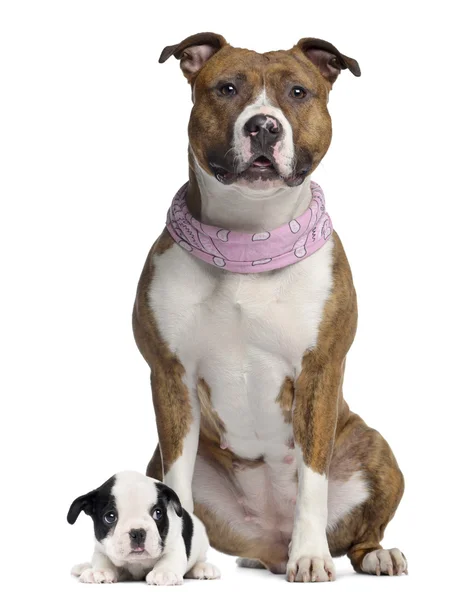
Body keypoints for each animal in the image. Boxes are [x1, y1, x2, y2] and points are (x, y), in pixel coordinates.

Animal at [67, 472, 220, 584]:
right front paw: (100, 571)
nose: (138, 532)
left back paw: (203, 568)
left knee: (199, 560)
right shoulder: (101, 548)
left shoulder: (175, 543)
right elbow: (102, 559)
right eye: (110, 517)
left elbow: (170, 558)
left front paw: (164, 572)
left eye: (158, 513)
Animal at [133, 32, 406, 580]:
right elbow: (176, 492)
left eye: (298, 92)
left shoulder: (320, 371)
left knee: (361, 534)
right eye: (226, 88)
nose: (263, 125)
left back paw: (371, 554)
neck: (248, 241)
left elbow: (313, 482)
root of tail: (270, 541)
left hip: (375, 449)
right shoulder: (169, 375)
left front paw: (312, 557)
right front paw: (173, 566)